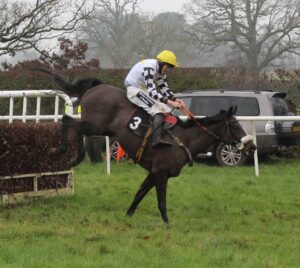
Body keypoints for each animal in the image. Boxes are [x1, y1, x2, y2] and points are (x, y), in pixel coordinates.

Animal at [39, 68, 255, 222]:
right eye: (235, 125)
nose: (251, 146)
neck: (183, 139)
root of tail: (97, 87)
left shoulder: (153, 172)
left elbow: (139, 194)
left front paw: (128, 215)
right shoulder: (161, 172)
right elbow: (161, 201)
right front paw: (167, 223)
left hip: (102, 128)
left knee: (74, 126)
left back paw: (76, 156)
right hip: (95, 124)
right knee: (67, 120)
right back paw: (65, 152)